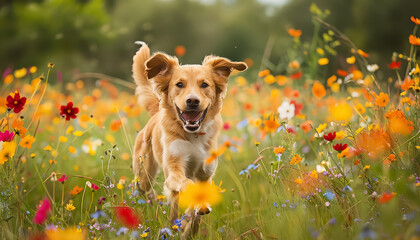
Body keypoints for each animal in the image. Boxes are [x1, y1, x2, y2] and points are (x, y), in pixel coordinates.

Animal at [132, 42, 246, 236]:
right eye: (179, 84)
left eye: (204, 84)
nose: (192, 101)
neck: (194, 136)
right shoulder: (174, 169)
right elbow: (187, 184)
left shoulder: (205, 174)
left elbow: (196, 211)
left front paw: (190, 226)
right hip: (144, 176)